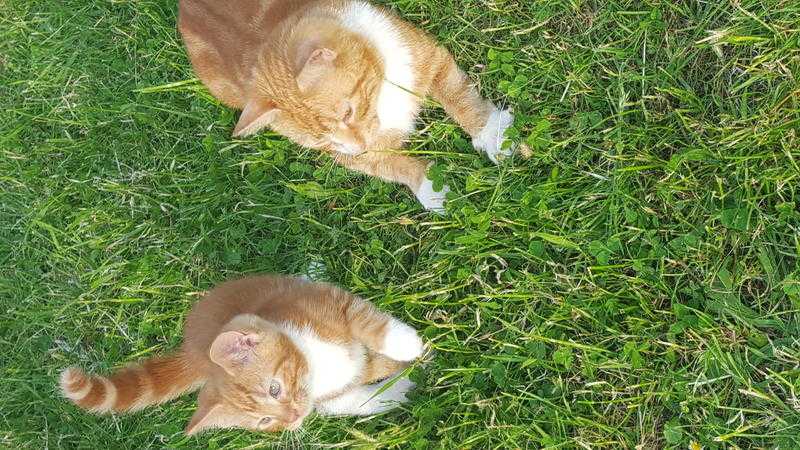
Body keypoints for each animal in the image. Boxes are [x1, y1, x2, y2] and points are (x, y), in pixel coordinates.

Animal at [60, 276, 428, 434]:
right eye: (263, 422)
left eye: (274, 388)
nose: (291, 419)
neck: (316, 364)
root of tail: (194, 351)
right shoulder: (332, 394)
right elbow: (359, 394)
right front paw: (400, 381)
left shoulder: (328, 303)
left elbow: (366, 321)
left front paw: (407, 345)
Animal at [178, 0, 520, 212]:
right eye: (322, 141)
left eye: (347, 112)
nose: (358, 146)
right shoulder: (350, 157)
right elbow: (393, 166)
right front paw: (428, 186)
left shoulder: (428, 58)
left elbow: (459, 99)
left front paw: (491, 134)